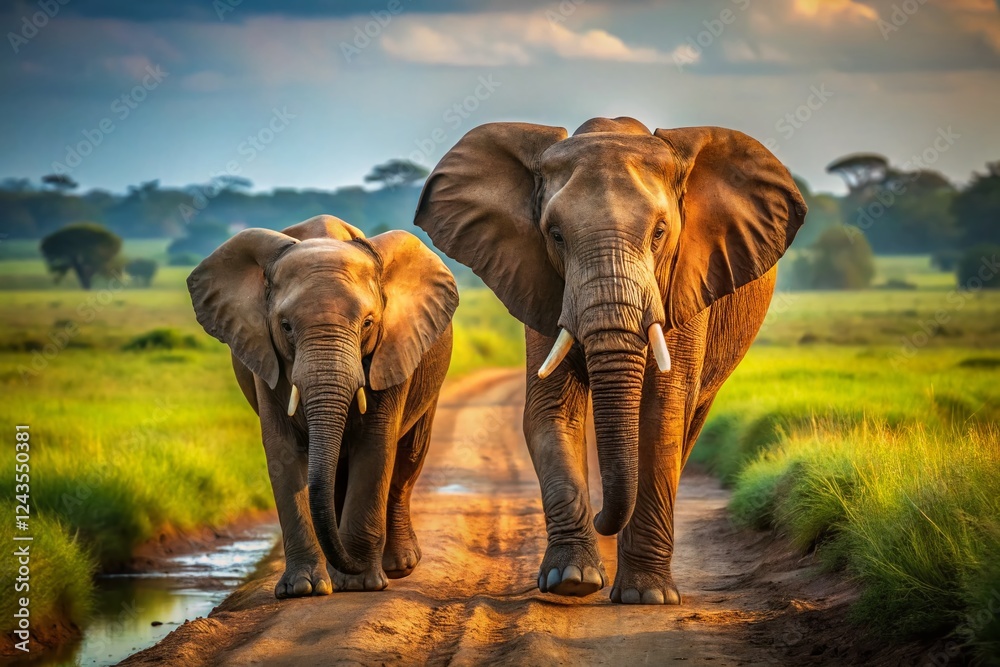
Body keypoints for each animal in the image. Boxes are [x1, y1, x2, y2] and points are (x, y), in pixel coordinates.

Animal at [188, 215, 459, 597]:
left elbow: (375, 443)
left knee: (408, 458)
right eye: (286, 326)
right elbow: (283, 450)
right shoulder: (266, 359)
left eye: (368, 323)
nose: (350, 564)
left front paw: (358, 583)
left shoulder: (391, 346)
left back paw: (397, 566)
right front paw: (303, 589)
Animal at [415, 117, 806, 605]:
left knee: (690, 422)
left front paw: (646, 597)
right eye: (555, 235)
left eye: (660, 233)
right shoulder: (543, 284)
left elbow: (661, 415)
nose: (602, 516)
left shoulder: (684, 283)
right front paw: (572, 581)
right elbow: (551, 410)